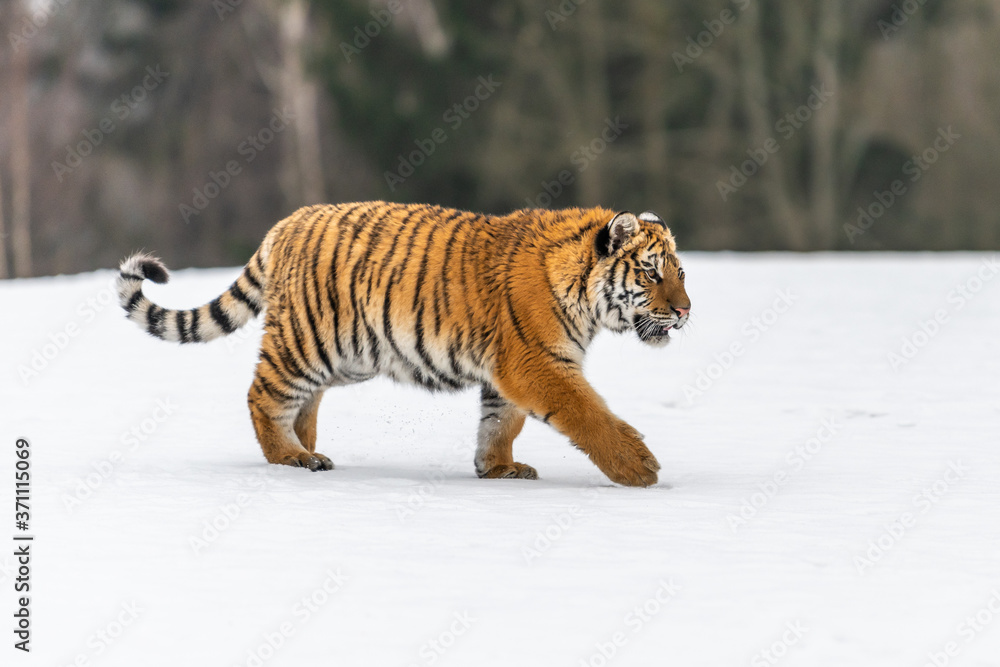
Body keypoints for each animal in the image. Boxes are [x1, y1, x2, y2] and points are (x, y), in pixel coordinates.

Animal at [117, 203, 691, 487]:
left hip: (346, 354)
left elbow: (501, 423)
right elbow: (588, 413)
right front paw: (639, 469)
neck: (584, 298)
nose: (686, 311)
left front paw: (497, 469)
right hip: (307, 339)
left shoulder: (509, 372)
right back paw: (289, 458)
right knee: (264, 395)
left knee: (302, 401)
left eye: (680, 273)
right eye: (651, 273)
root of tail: (285, 223)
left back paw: (310, 450)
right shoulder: (536, 361)